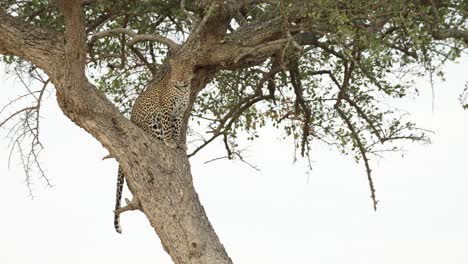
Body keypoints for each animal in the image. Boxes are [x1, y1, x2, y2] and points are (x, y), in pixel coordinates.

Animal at [114, 59, 193, 233]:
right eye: (176, 71)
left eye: (185, 70)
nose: (180, 79)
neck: (183, 89)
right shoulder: (166, 110)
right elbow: (168, 128)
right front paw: (170, 142)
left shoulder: (178, 114)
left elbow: (177, 128)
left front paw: (178, 143)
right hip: (152, 124)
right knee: (157, 135)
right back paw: (162, 140)